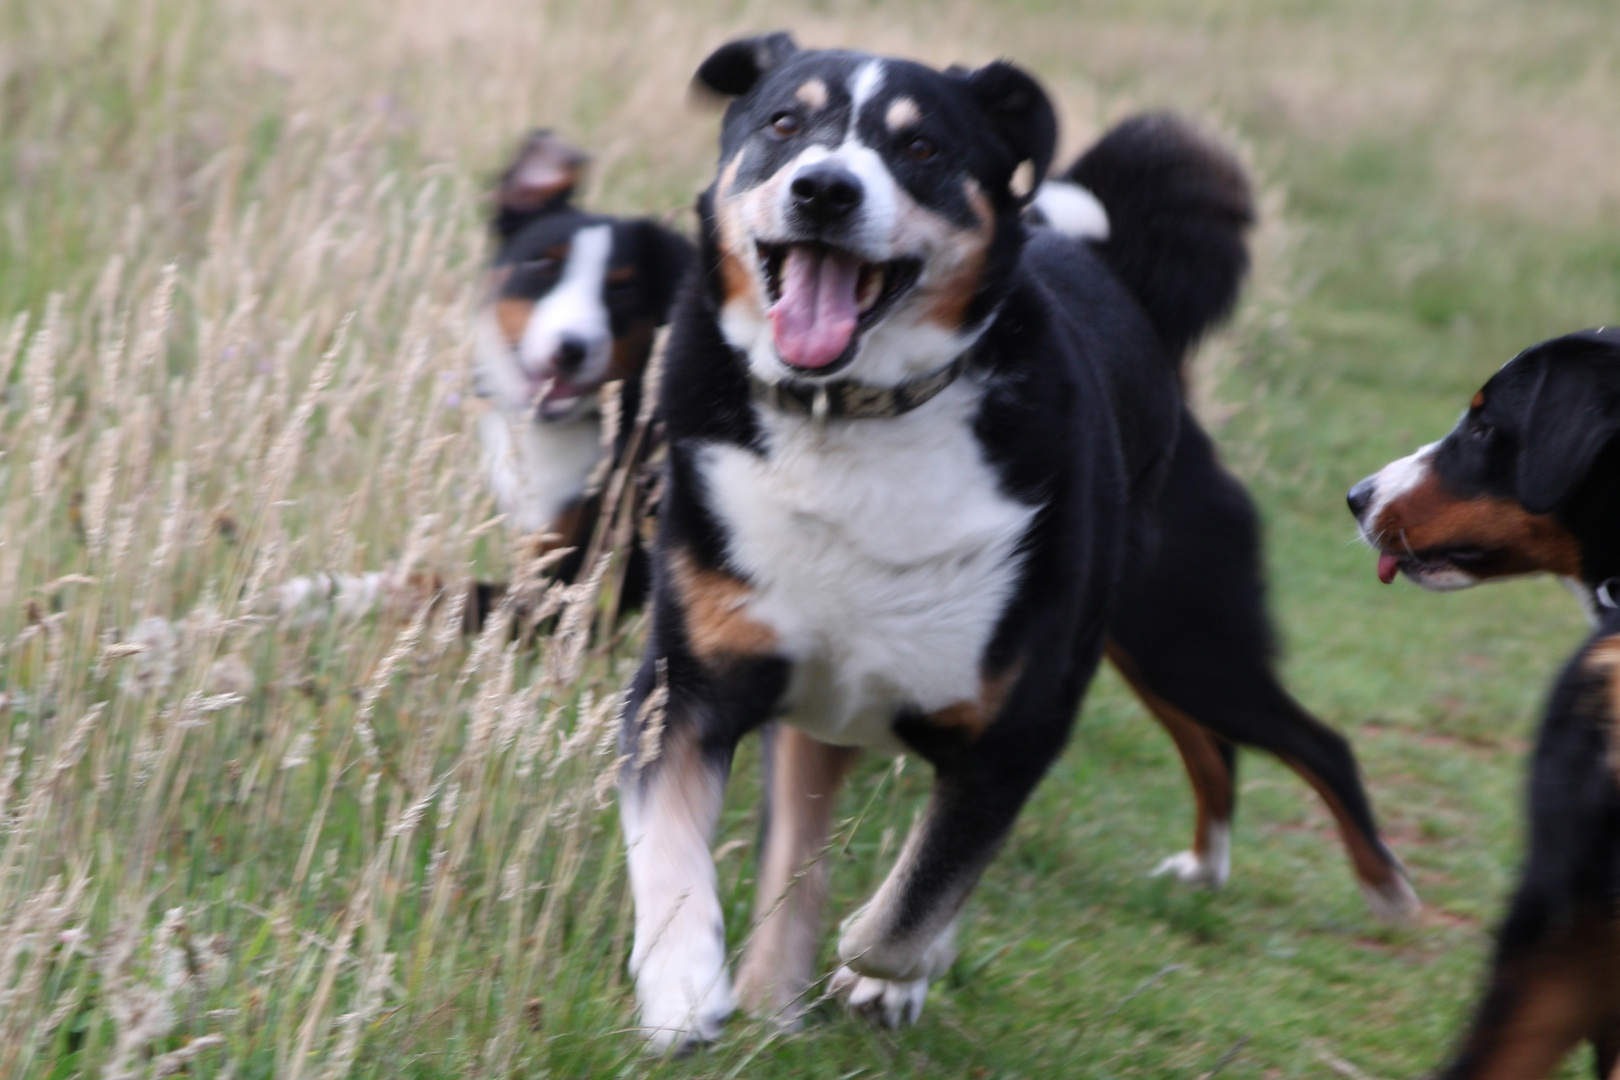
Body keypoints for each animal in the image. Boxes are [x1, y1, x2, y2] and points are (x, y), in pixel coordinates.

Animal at [622, 29, 1419, 1049]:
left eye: (920, 147)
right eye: (786, 124)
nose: (825, 190)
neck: (853, 420)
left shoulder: (1016, 726)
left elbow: (914, 905)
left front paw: (883, 972)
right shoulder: (690, 683)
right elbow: (679, 848)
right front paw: (685, 986)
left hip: (1179, 638)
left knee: (1310, 742)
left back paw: (1383, 888)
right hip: (1119, 652)